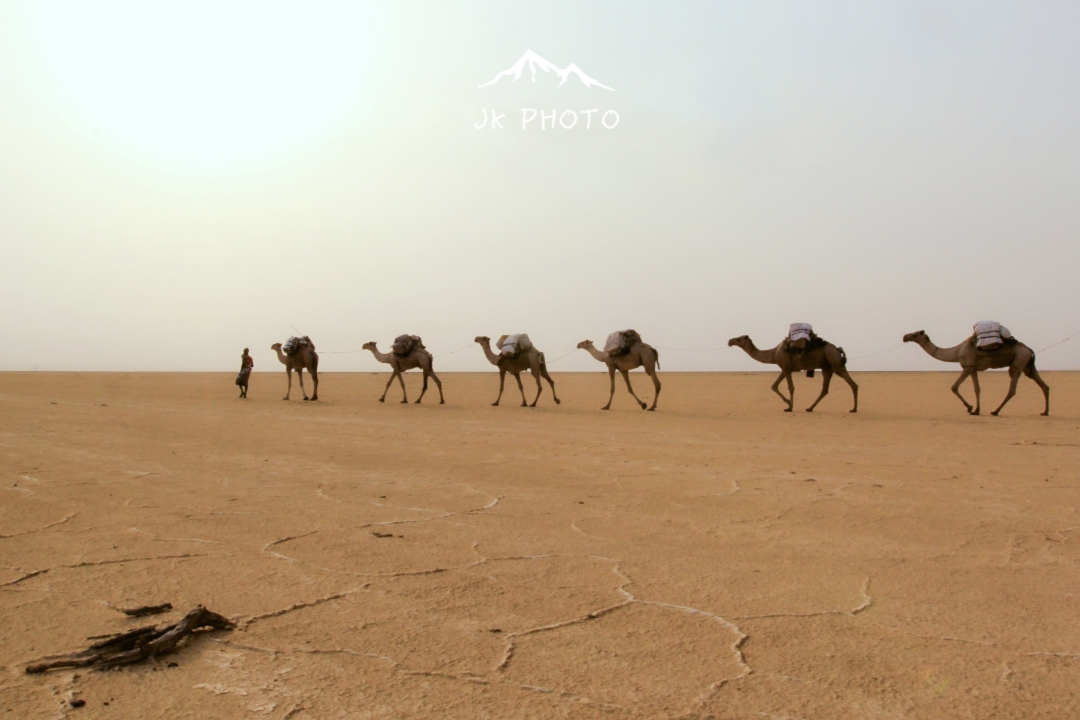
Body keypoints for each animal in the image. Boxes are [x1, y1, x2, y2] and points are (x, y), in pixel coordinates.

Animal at [725, 334, 859, 410]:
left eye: (738, 339)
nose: (729, 341)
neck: (774, 354)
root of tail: (838, 349)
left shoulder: (786, 368)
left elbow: (791, 387)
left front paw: (790, 407)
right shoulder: (785, 368)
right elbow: (774, 386)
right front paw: (788, 402)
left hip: (836, 363)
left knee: (852, 384)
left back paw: (853, 409)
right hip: (828, 368)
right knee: (826, 389)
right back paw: (810, 408)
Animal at [898, 328, 1049, 414]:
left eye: (915, 334)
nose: (905, 336)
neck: (956, 352)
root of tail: (1029, 349)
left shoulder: (967, 367)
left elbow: (954, 387)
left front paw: (969, 408)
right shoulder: (973, 368)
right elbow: (977, 388)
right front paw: (976, 410)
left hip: (1019, 360)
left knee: (1012, 386)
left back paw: (995, 411)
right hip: (1028, 364)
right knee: (1042, 384)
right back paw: (1045, 412)